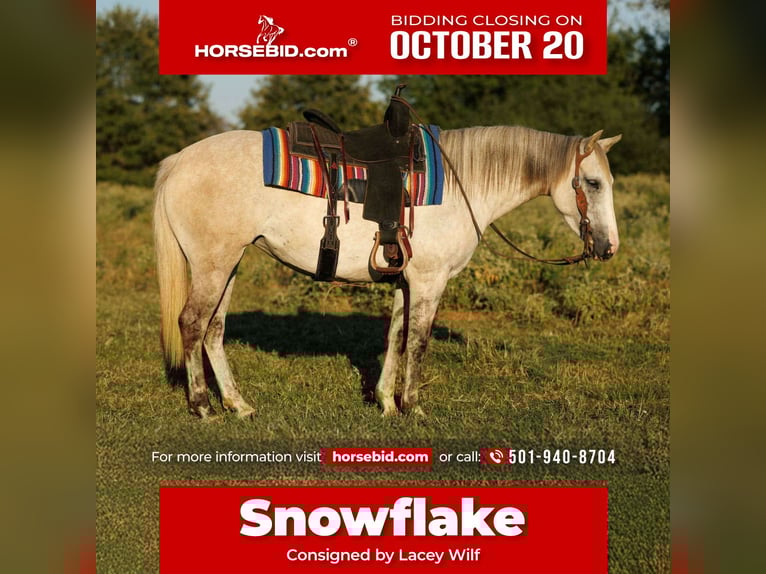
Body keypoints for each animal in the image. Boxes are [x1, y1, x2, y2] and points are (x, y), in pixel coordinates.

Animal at [153, 126, 622, 419]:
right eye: (593, 183)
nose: (609, 248)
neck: (461, 186)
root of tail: (178, 160)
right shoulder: (430, 281)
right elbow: (417, 343)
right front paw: (413, 406)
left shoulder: (406, 282)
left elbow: (395, 337)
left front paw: (387, 403)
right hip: (214, 264)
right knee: (192, 324)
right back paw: (202, 406)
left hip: (228, 264)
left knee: (213, 330)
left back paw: (238, 404)